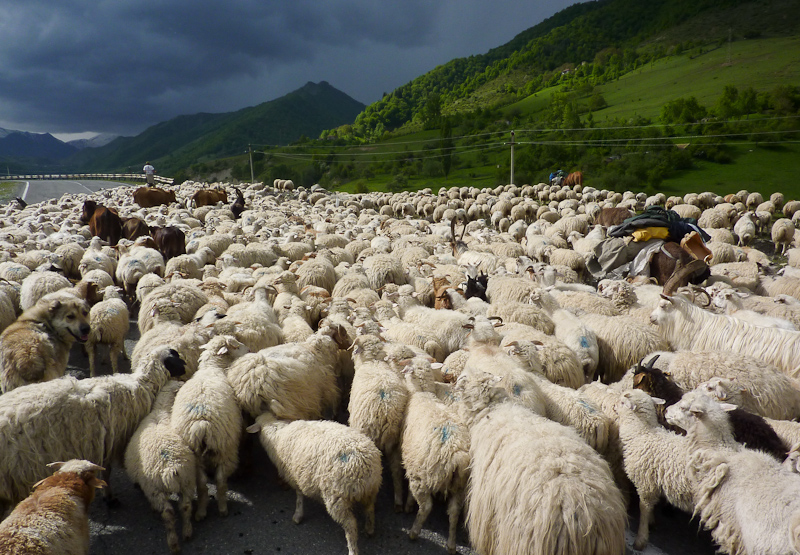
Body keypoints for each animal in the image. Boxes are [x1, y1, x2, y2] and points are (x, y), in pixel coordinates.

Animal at [248, 410, 382, 555]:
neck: (277, 432)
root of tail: (363, 465)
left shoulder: (294, 476)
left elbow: (299, 497)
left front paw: (298, 516)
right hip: (371, 491)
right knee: (369, 508)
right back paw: (369, 529)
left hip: (337, 498)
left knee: (350, 525)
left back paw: (352, 549)